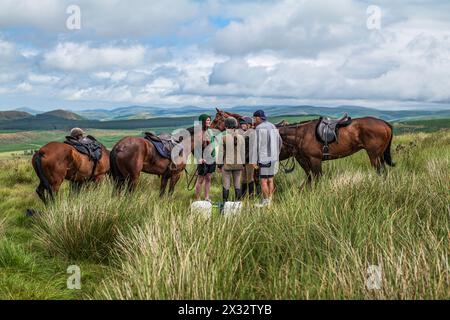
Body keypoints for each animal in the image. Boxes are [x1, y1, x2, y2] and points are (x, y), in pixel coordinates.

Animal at [211, 109, 394, 182]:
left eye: (216, 118)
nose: (209, 126)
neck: (301, 134)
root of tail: (385, 124)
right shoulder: (305, 159)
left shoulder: (314, 160)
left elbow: (316, 178)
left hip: (373, 155)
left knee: (380, 171)